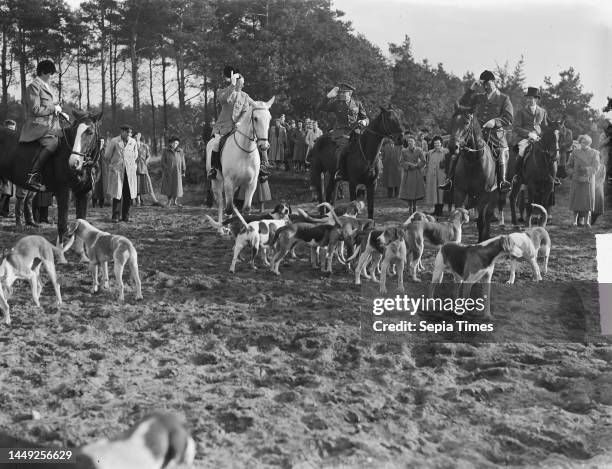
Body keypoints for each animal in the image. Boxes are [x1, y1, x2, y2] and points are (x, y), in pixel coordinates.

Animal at [0, 109, 101, 241]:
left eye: (90, 132)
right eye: (75, 131)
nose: (74, 162)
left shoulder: (84, 193)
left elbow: (82, 224)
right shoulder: (64, 191)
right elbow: (62, 226)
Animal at [450, 89, 502, 241]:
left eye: (467, 122)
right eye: (452, 120)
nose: (453, 147)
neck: (472, 161)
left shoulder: (483, 196)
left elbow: (481, 222)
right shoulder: (459, 192)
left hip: (494, 197)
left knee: (487, 217)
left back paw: (486, 237)